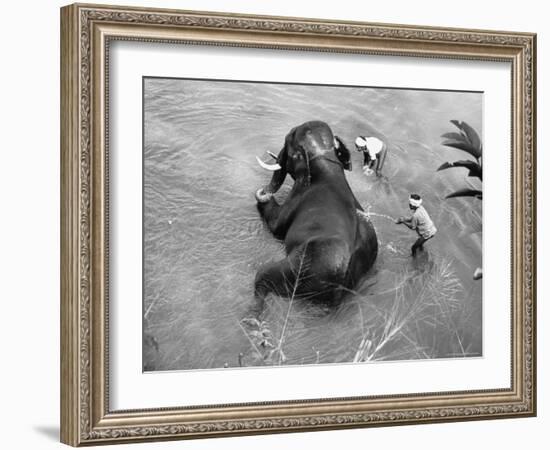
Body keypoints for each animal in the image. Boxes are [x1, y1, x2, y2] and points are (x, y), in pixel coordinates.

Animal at [254, 119, 380, 310]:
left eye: (287, 140)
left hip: (299, 268)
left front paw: (262, 196)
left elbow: (276, 226)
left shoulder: (297, 196)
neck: (327, 164)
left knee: (262, 277)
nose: (263, 190)